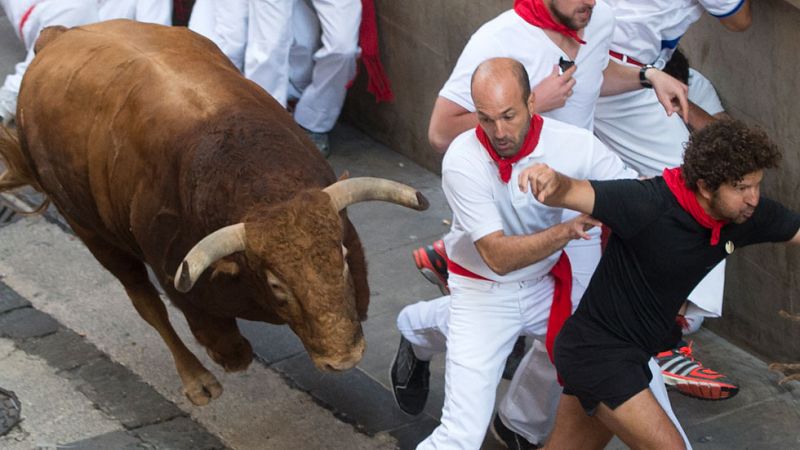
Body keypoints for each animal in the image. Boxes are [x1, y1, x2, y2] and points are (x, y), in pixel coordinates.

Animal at [0, 21, 424, 406]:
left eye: (344, 259)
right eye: (276, 286)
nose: (344, 358)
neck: (262, 187)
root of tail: (57, 36)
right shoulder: (181, 283)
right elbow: (218, 338)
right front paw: (229, 358)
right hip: (92, 233)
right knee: (147, 304)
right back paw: (196, 380)